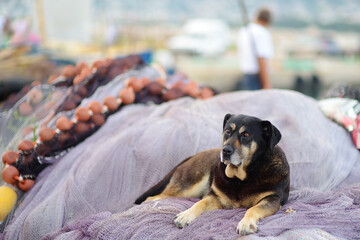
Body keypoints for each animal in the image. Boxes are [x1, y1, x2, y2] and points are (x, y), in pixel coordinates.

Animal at [135, 113, 290, 235]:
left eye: (246, 135)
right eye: (227, 131)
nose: (225, 151)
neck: (241, 177)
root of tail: (192, 156)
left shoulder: (272, 199)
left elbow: (253, 209)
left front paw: (246, 224)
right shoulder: (215, 196)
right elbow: (201, 203)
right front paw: (186, 215)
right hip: (188, 187)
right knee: (153, 197)